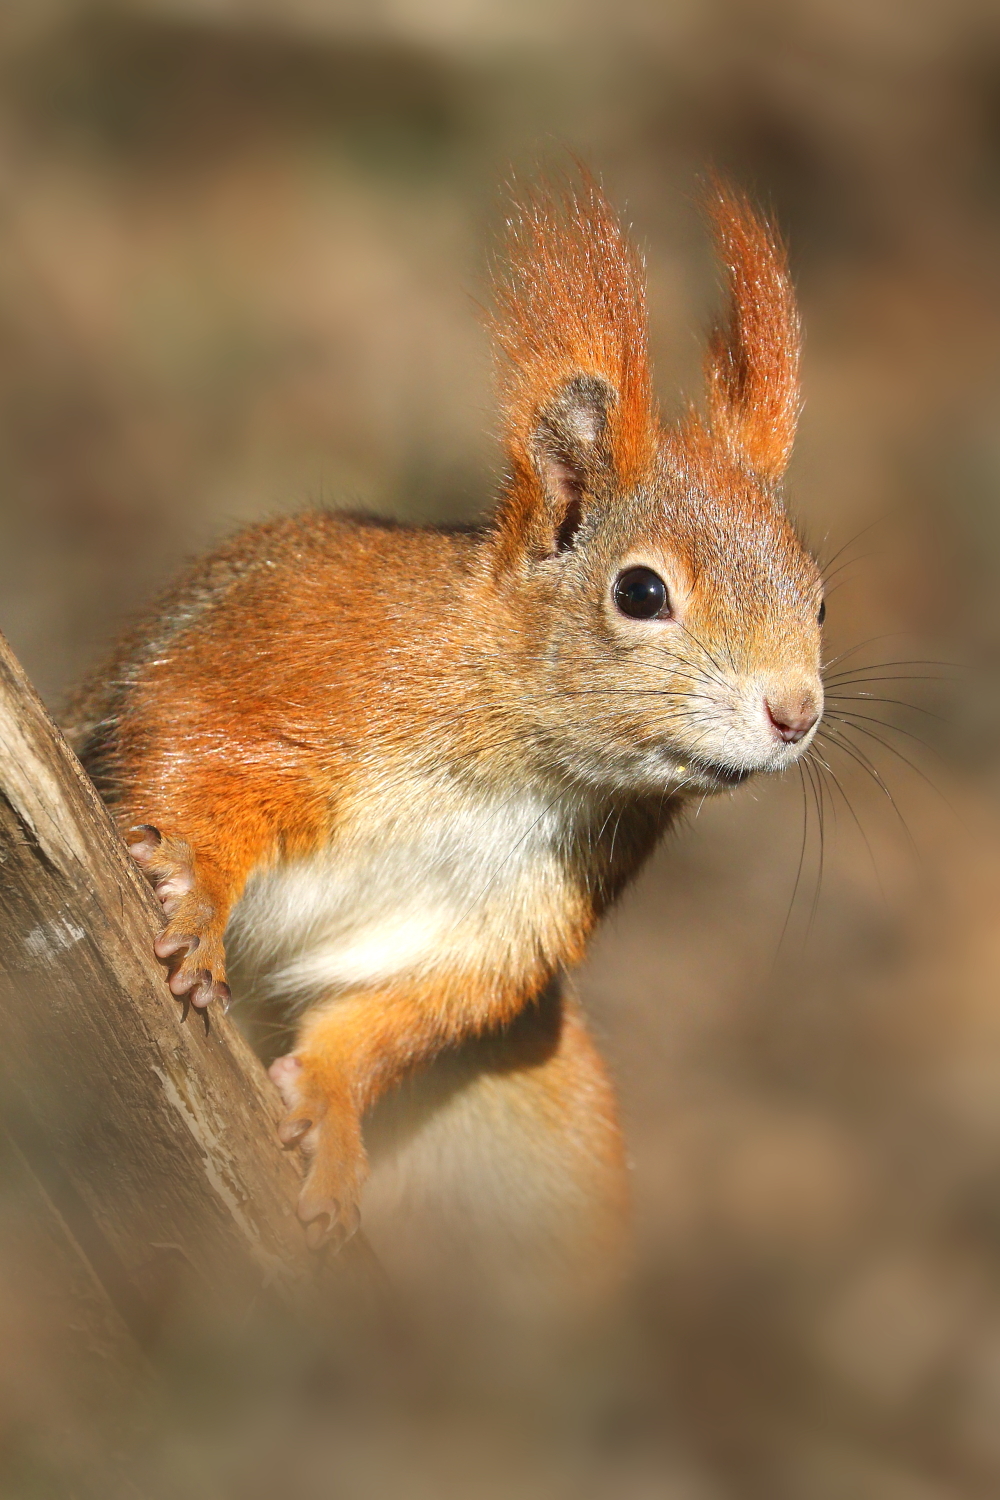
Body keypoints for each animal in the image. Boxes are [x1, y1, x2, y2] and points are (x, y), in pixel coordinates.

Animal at [64, 171, 823, 1272]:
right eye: (641, 592)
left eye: (819, 599)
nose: (795, 711)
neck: (519, 761)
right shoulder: (284, 666)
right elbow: (187, 751)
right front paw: (192, 901)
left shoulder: (498, 921)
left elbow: (396, 1014)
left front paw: (332, 1116)